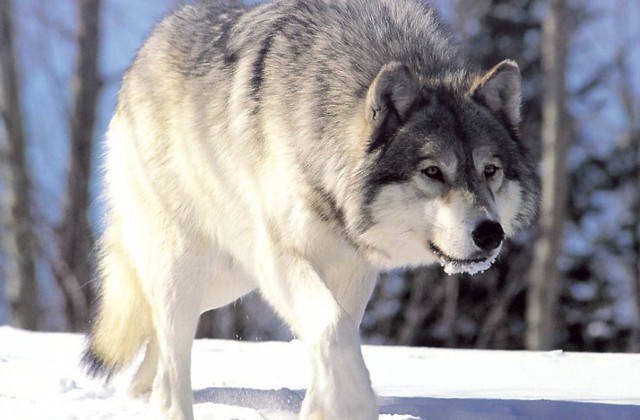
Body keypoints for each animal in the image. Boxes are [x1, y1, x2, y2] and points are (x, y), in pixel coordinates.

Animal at [82, 0, 536, 418]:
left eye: (489, 170)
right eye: (433, 171)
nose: (490, 234)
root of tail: (144, 52)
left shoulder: (353, 265)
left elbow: (335, 335)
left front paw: (323, 408)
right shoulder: (280, 256)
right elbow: (334, 329)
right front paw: (354, 402)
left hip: (229, 279)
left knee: (156, 334)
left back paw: (137, 394)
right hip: (189, 263)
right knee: (171, 348)